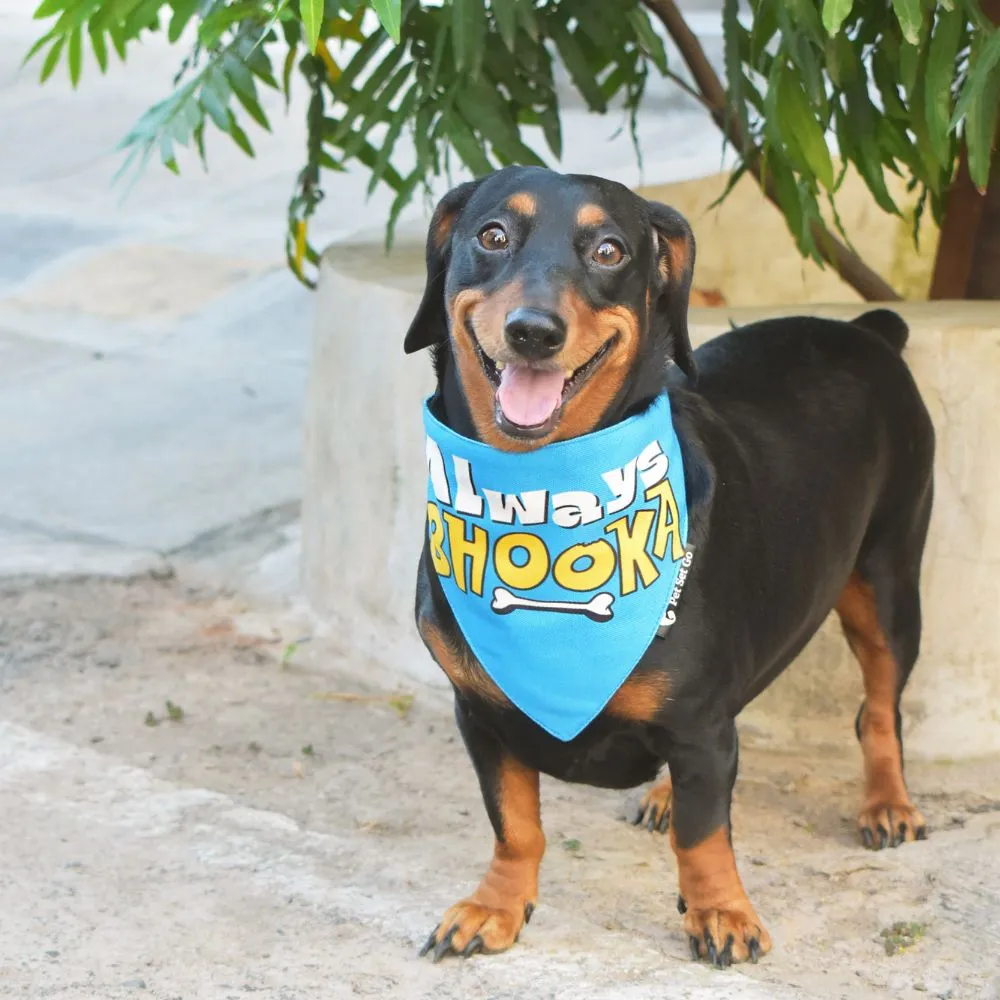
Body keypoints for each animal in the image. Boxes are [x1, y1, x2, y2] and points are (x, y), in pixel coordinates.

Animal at [402, 166, 932, 968]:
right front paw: (496, 906)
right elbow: (516, 825)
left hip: (890, 584)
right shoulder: (482, 716)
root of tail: (866, 331)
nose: (533, 332)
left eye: (611, 250)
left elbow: (705, 833)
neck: (545, 495)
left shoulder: (701, 724)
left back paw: (887, 803)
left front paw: (721, 913)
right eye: (491, 235)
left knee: (879, 708)